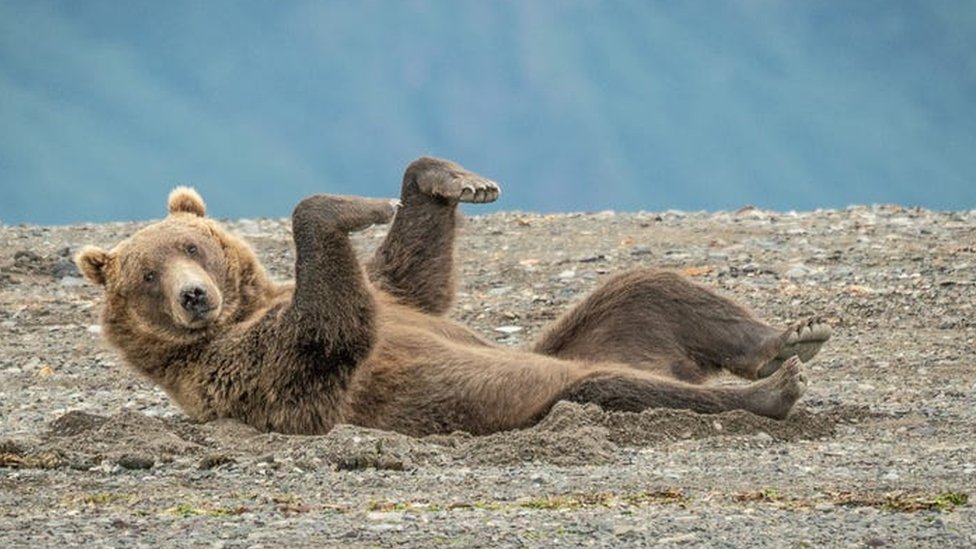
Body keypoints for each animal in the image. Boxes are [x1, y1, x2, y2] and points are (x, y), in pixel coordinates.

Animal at [76, 156, 832, 434]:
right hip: (537, 389)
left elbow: (411, 273)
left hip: (598, 330)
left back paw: (790, 337)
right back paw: (771, 389)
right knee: (617, 386)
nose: (194, 297)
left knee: (648, 288)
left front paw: (454, 182)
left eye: (192, 245)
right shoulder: (244, 368)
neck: (247, 306)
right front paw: (352, 206)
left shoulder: (394, 295)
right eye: (146, 275)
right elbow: (331, 329)